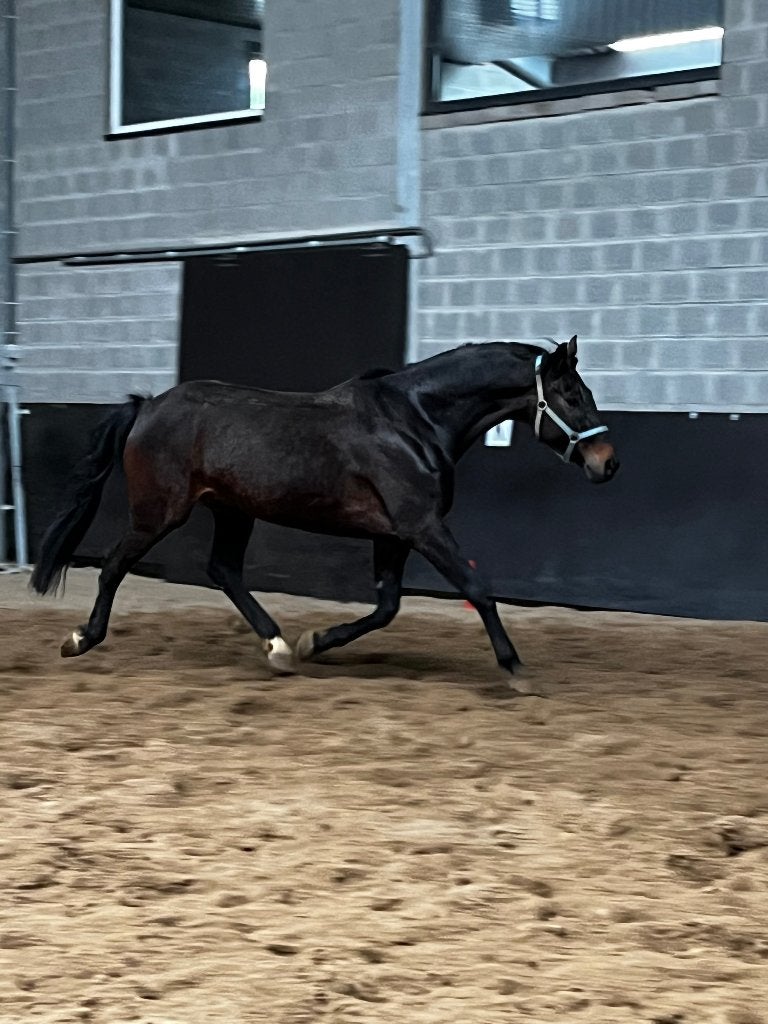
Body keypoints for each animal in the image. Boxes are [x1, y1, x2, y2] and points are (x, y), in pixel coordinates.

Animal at [30, 335, 618, 678]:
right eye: (570, 394)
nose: (608, 463)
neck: (415, 423)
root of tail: (146, 407)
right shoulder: (422, 526)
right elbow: (477, 589)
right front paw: (515, 667)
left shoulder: (394, 535)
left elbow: (387, 607)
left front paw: (315, 642)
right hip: (160, 513)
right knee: (114, 565)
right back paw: (80, 639)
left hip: (233, 510)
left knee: (223, 570)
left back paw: (279, 648)